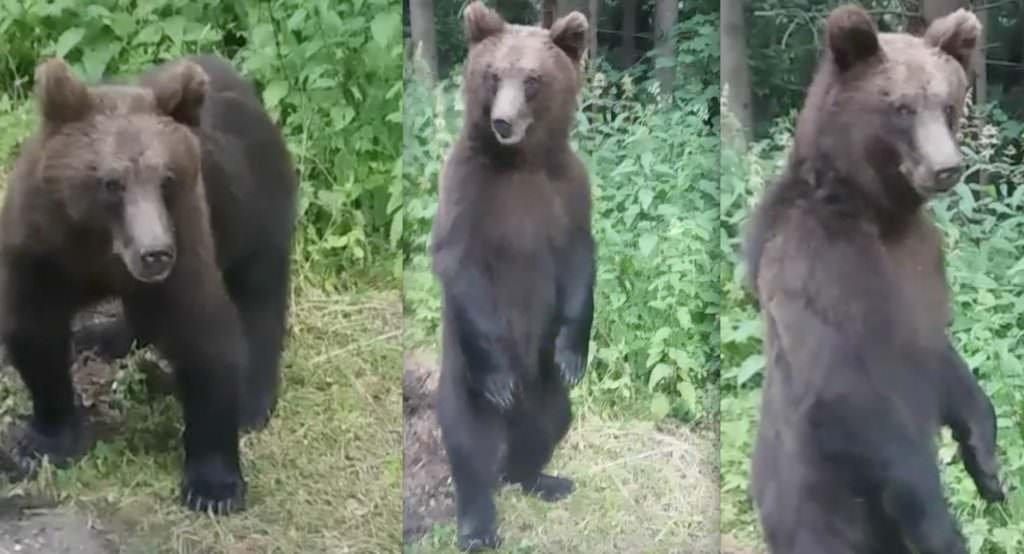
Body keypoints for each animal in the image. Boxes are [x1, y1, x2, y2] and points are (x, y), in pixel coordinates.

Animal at [4, 56, 299, 514]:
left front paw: (213, 485)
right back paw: (101, 335)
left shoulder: (187, 243)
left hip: (252, 212)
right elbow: (34, 332)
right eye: (111, 182)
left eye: (167, 178)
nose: (155, 252)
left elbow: (206, 341)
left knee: (259, 299)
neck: (98, 251)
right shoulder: (41, 250)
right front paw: (44, 439)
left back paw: (253, 400)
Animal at [428, 3, 598, 548]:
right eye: (493, 73)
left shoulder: (567, 190)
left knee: (550, 422)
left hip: (544, 389)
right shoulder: (468, 189)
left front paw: (573, 353)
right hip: (463, 380)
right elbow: (459, 265)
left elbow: (580, 259)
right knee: (469, 447)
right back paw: (478, 524)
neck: (521, 162)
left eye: (533, 79)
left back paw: (542, 478)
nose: (502, 121)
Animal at [745, 4, 1007, 552]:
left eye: (947, 103)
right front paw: (943, 525)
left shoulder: (922, 266)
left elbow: (941, 352)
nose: (947, 167)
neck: (880, 212)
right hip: (817, 504)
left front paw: (987, 461)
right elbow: (854, 394)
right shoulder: (823, 266)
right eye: (902, 107)